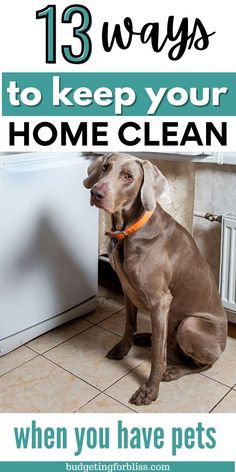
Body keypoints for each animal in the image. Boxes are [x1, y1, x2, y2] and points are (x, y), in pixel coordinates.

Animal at [83, 152, 227, 406]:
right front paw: (123, 348)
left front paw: (150, 390)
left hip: (190, 324)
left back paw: (173, 370)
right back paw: (145, 337)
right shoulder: (128, 289)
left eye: (128, 177)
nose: (96, 193)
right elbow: (129, 324)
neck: (127, 231)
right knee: (164, 339)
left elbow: (158, 357)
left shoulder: (161, 301)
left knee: (202, 363)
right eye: (105, 167)